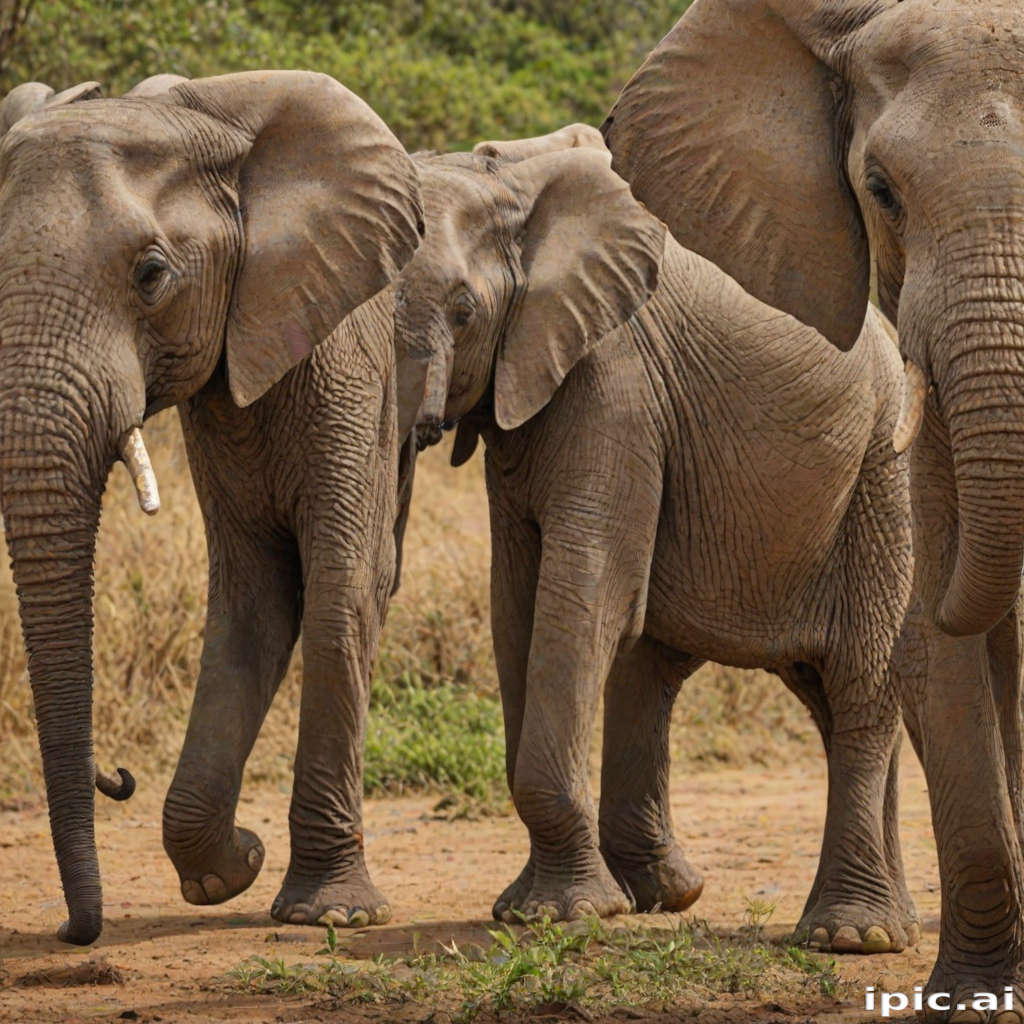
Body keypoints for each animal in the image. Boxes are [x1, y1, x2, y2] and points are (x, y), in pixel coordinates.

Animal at [0, 71, 423, 945]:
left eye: (151, 275)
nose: (74, 933)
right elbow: (253, 604)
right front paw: (229, 871)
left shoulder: (344, 350)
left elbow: (342, 591)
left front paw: (330, 912)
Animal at [393, 134, 925, 949]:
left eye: (463, 312)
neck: (509, 187)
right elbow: (517, 606)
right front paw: (529, 909)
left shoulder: (615, 384)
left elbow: (585, 592)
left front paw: (560, 916)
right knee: (774, 687)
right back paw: (689, 896)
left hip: (881, 474)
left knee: (860, 683)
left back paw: (850, 937)